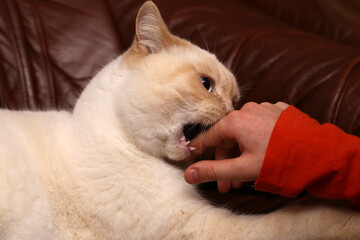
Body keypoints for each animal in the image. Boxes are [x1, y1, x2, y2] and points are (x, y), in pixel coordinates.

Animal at [0, 0, 360, 239]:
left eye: (235, 101)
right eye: (206, 85)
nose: (232, 112)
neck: (122, 141)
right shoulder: (195, 228)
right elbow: (303, 220)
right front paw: (348, 220)